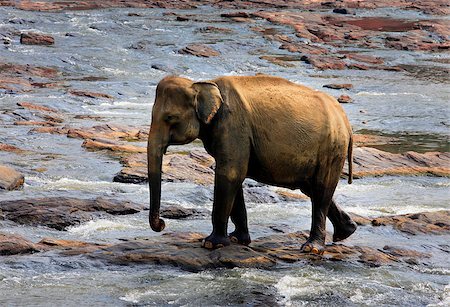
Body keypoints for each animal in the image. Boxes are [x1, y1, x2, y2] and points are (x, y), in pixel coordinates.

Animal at [149, 74, 356, 255]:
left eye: (169, 118)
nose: (162, 224)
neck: (203, 83)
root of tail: (345, 119)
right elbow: (235, 178)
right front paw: (237, 239)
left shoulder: (232, 125)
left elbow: (230, 174)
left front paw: (211, 244)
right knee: (311, 188)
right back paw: (346, 231)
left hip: (332, 148)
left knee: (321, 189)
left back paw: (311, 248)